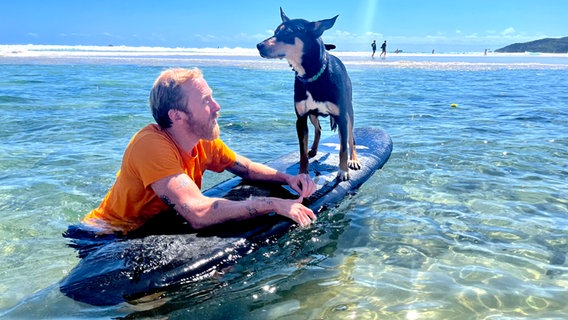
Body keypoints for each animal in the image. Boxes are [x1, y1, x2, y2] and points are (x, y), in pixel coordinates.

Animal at [258, 7, 360, 181]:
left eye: (288, 33)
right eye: (275, 32)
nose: (259, 46)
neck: (311, 76)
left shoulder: (341, 117)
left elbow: (343, 148)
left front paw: (343, 170)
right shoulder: (301, 119)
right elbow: (302, 152)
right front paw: (303, 174)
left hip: (349, 112)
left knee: (350, 138)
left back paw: (353, 159)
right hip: (312, 115)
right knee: (318, 129)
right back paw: (313, 148)